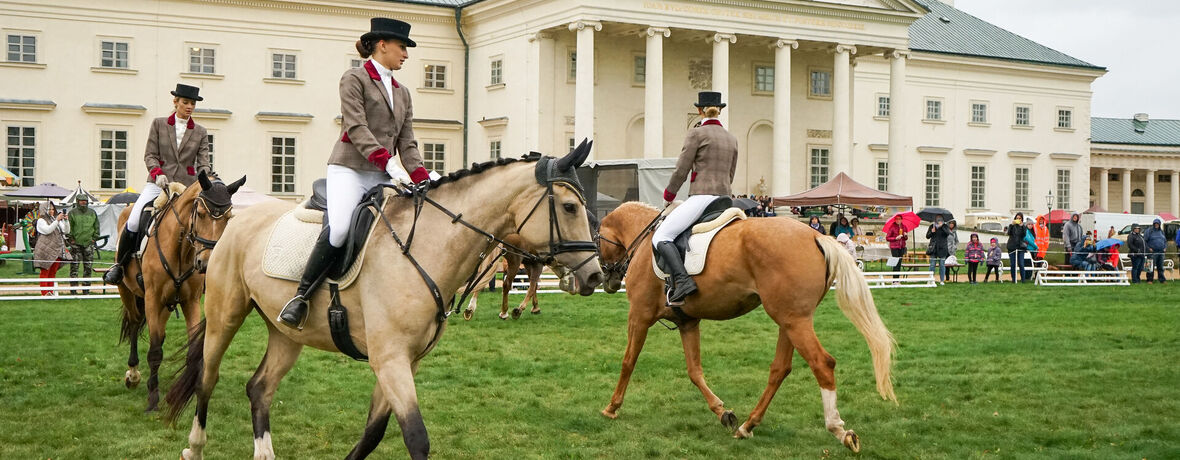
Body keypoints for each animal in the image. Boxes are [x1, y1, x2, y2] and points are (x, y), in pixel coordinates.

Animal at [113, 169, 245, 412]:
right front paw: (153, 399)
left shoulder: (190, 301)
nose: (206, 263)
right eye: (200, 214)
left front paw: (184, 392)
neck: (181, 249)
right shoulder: (152, 299)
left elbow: (191, 350)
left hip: (166, 305)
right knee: (135, 323)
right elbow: (155, 351)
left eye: (228, 218)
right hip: (127, 290)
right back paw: (133, 374)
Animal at [162, 145, 604, 460]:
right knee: (207, 379)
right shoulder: (389, 359)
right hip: (225, 316)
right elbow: (416, 437)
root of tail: (235, 224)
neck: (424, 247)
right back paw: (193, 448)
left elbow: (374, 432)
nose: (595, 276)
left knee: (259, 388)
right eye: (569, 207)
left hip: (287, 333)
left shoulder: (406, 360)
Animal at [594, 201, 896, 452]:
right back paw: (747, 426)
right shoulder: (687, 322)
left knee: (822, 364)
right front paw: (723, 412)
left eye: (596, 241)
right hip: (790, 320)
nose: (604, 279)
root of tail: (816, 235)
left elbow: (628, 361)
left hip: (794, 321)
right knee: (780, 369)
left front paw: (612, 407)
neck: (645, 242)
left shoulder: (639, 315)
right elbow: (694, 371)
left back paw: (838, 430)